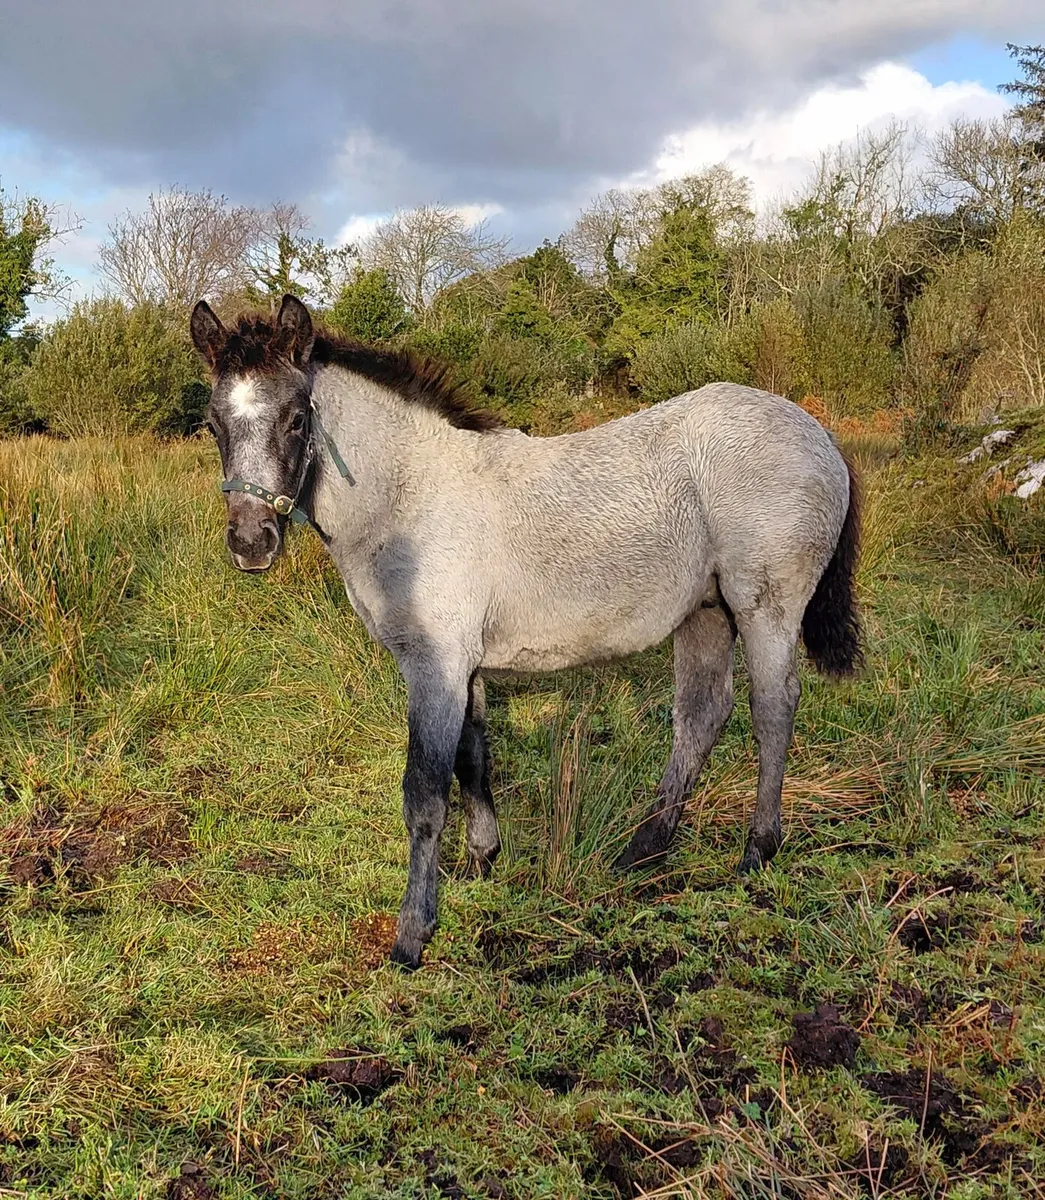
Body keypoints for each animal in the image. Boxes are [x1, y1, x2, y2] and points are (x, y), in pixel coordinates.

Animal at [190, 294, 862, 969]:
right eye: (214, 424)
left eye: (298, 419)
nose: (250, 542)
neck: (409, 496)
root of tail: (819, 434)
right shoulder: (462, 667)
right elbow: (472, 758)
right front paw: (481, 860)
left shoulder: (434, 664)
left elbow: (424, 793)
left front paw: (413, 932)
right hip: (705, 610)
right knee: (702, 715)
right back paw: (643, 848)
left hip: (764, 606)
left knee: (772, 708)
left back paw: (756, 851)